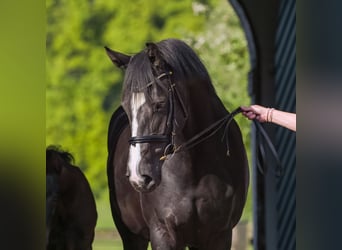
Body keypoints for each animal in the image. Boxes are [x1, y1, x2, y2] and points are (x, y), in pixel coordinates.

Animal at [105, 38, 248, 249]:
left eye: (159, 103)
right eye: (126, 107)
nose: (139, 176)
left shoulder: (220, 235)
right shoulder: (163, 232)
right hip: (132, 236)